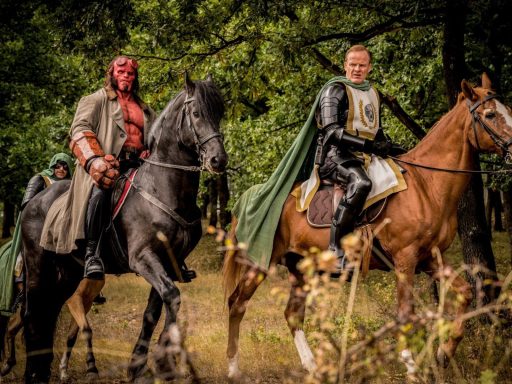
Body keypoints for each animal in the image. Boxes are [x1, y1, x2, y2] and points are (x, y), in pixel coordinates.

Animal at [20, 74, 227, 380]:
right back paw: (32, 371)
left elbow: (156, 309)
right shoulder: (143, 257)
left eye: (220, 113)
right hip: (37, 271)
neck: (162, 188)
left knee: (48, 313)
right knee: (33, 315)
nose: (218, 160)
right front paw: (163, 361)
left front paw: (141, 365)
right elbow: (172, 296)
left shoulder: (170, 262)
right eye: (197, 113)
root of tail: (33, 202)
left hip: (66, 275)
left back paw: (41, 369)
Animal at [225, 74, 512, 378]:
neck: (427, 185)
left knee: (292, 313)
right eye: (490, 114)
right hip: (259, 262)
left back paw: (314, 366)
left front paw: (443, 354)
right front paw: (411, 366)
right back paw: (233, 369)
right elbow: (405, 313)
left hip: (299, 266)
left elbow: (465, 292)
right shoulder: (405, 259)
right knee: (237, 303)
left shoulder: (431, 258)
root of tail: (253, 196)